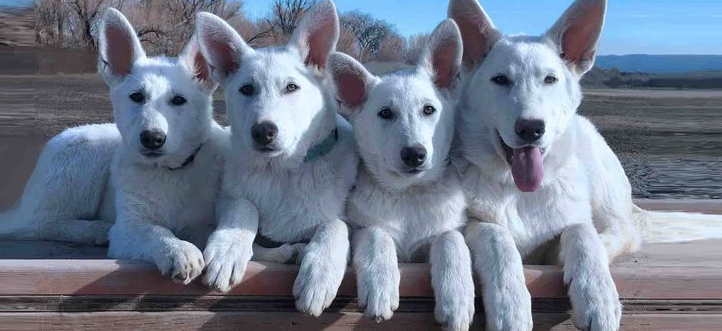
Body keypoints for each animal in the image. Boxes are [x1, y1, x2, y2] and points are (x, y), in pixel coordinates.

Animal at [194, 0, 358, 316]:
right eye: (246, 89)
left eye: (291, 87)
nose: (263, 132)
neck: (282, 172)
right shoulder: (225, 198)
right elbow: (244, 206)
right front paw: (228, 247)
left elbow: (334, 224)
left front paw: (319, 273)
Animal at [330, 19, 476, 330]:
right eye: (385, 113)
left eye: (429, 109)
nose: (414, 154)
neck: (409, 194)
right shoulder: (362, 226)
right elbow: (377, 234)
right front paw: (381, 285)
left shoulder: (447, 229)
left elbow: (450, 239)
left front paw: (457, 298)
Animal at [448, 0, 640, 331]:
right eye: (501, 80)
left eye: (549, 79)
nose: (531, 128)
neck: (517, 191)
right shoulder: (475, 223)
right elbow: (499, 242)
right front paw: (511, 308)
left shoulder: (574, 218)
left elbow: (582, 234)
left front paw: (598, 296)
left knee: (623, 231)